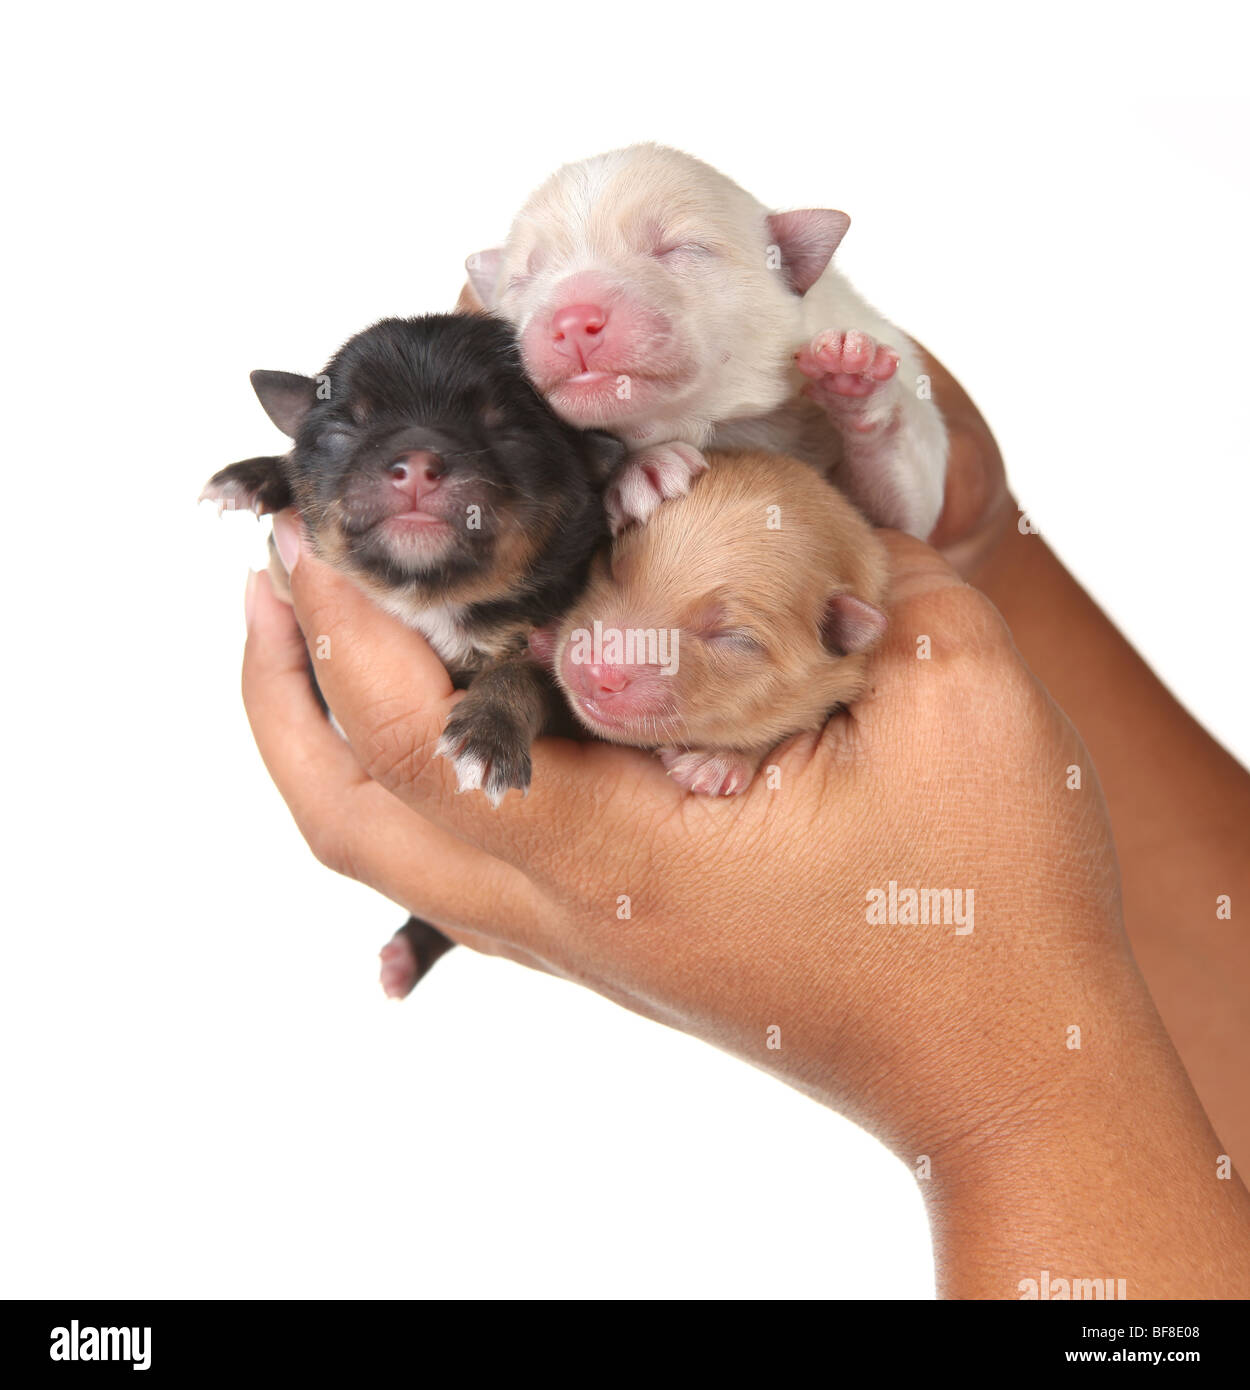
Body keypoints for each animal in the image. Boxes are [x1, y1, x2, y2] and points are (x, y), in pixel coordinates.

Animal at [469, 142, 951, 536]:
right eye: (522, 279)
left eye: (680, 249)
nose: (572, 321)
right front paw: (643, 468)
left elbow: (899, 514)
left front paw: (857, 379)